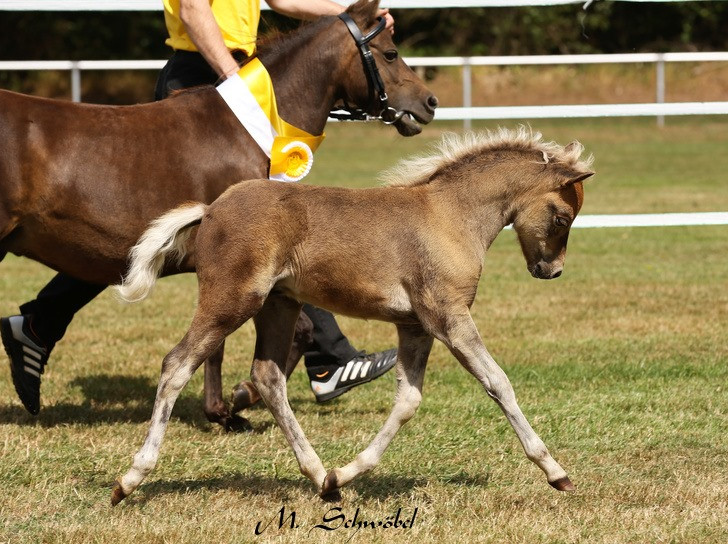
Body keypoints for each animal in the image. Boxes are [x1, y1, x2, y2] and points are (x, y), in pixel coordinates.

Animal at [112, 129, 592, 506]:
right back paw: (129, 480)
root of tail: (210, 209)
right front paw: (556, 472)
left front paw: (342, 475)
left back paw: (319, 476)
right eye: (562, 216)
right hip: (232, 300)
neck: (450, 216)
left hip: (278, 304)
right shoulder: (448, 317)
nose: (551, 271)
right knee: (177, 363)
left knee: (267, 376)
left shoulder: (415, 326)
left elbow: (407, 401)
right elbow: (498, 383)